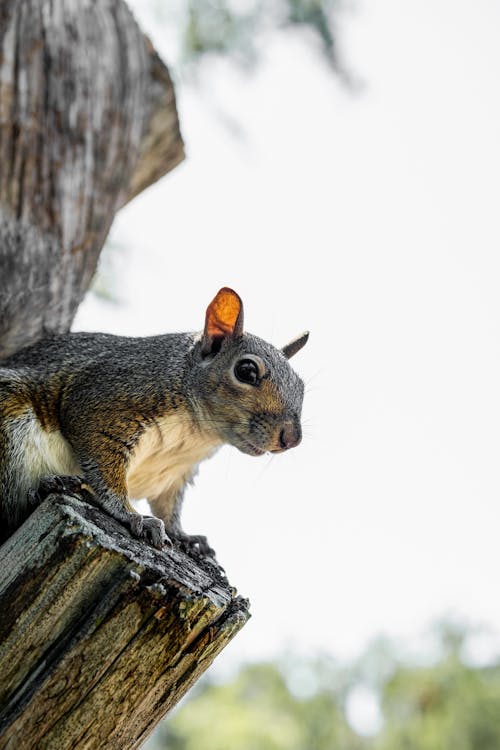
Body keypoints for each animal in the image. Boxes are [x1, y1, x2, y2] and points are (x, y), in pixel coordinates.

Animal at [0, 288, 306, 552]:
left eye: (301, 386)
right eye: (247, 371)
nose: (291, 438)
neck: (197, 432)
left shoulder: (175, 472)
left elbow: (168, 506)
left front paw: (184, 536)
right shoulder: (102, 403)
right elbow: (106, 473)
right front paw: (132, 516)